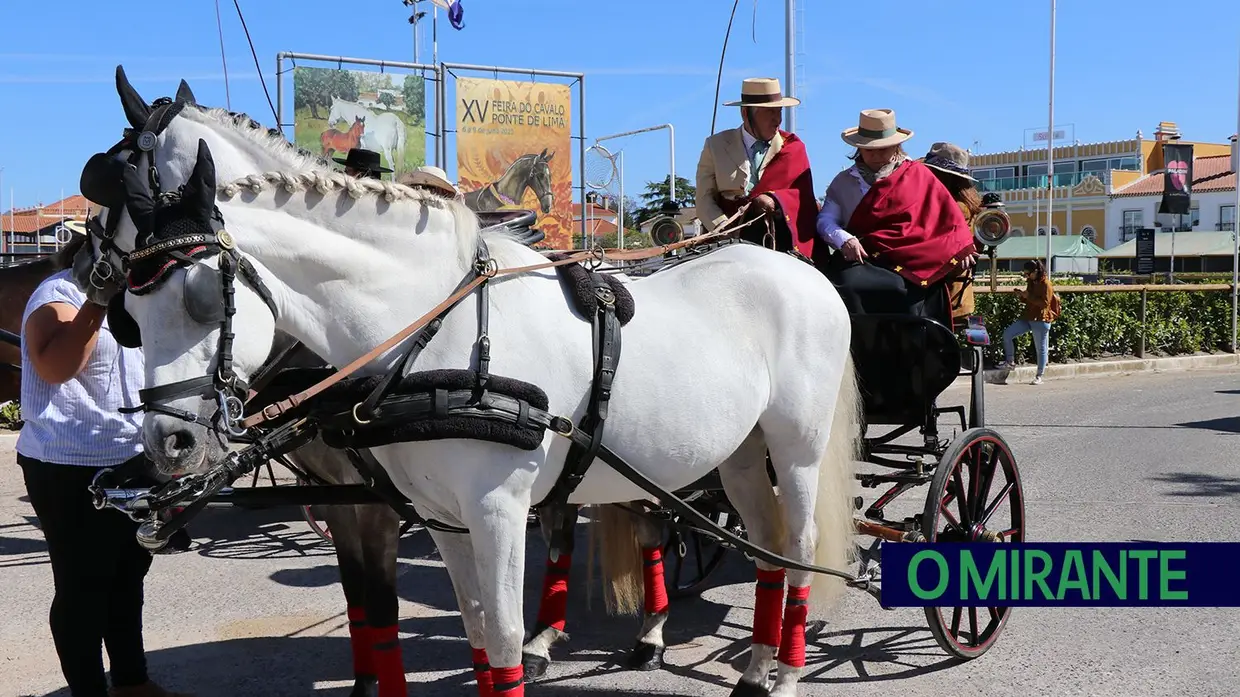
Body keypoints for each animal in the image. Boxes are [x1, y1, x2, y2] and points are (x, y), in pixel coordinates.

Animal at [84, 70, 863, 694]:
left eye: (202, 300)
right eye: (133, 314)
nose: (170, 443)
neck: (435, 328)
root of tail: (802, 271)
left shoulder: (492, 511)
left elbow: (507, 638)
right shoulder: (441, 516)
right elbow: (479, 634)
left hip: (796, 446)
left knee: (797, 544)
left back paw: (784, 673)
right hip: (738, 452)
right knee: (762, 539)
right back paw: (755, 666)